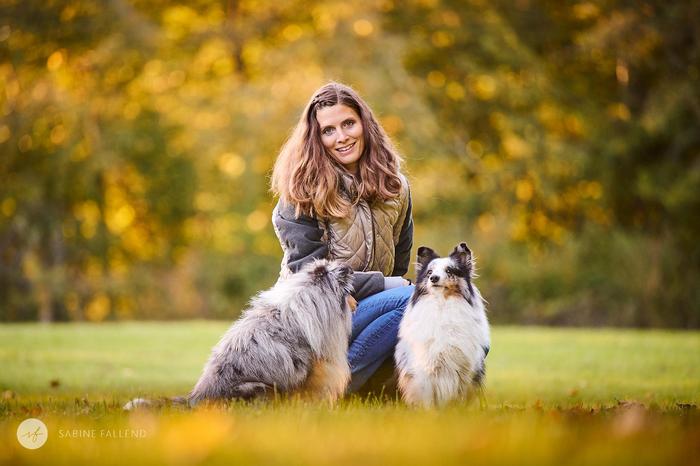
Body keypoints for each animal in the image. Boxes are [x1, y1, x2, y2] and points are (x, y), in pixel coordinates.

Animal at [396, 244, 490, 408]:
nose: (434, 278)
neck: (442, 305)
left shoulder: (464, 369)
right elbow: (428, 400)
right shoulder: (425, 369)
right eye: (429, 272)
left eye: (449, 270)